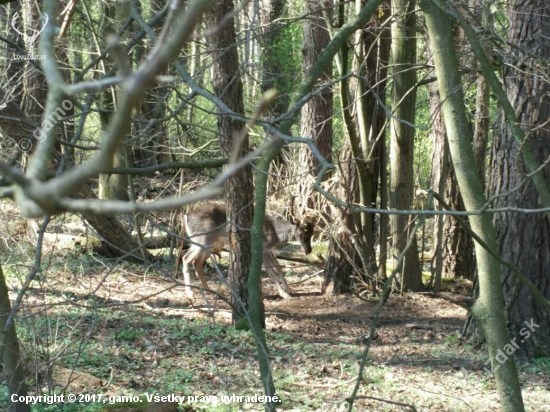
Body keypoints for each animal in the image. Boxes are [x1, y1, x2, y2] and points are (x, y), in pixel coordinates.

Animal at [182, 204, 314, 298]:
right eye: (300, 233)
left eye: (312, 233)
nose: (308, 250)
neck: (276, 233)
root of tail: (186, 216)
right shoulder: (263, 247)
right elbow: (270, 270)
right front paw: (284, 294)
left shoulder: (269, 249)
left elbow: (278, 267)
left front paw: (289, 289)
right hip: (202, 238)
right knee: (186, 258)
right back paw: (190, 293)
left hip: (209, 243)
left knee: (196, 262)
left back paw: (209, 290)